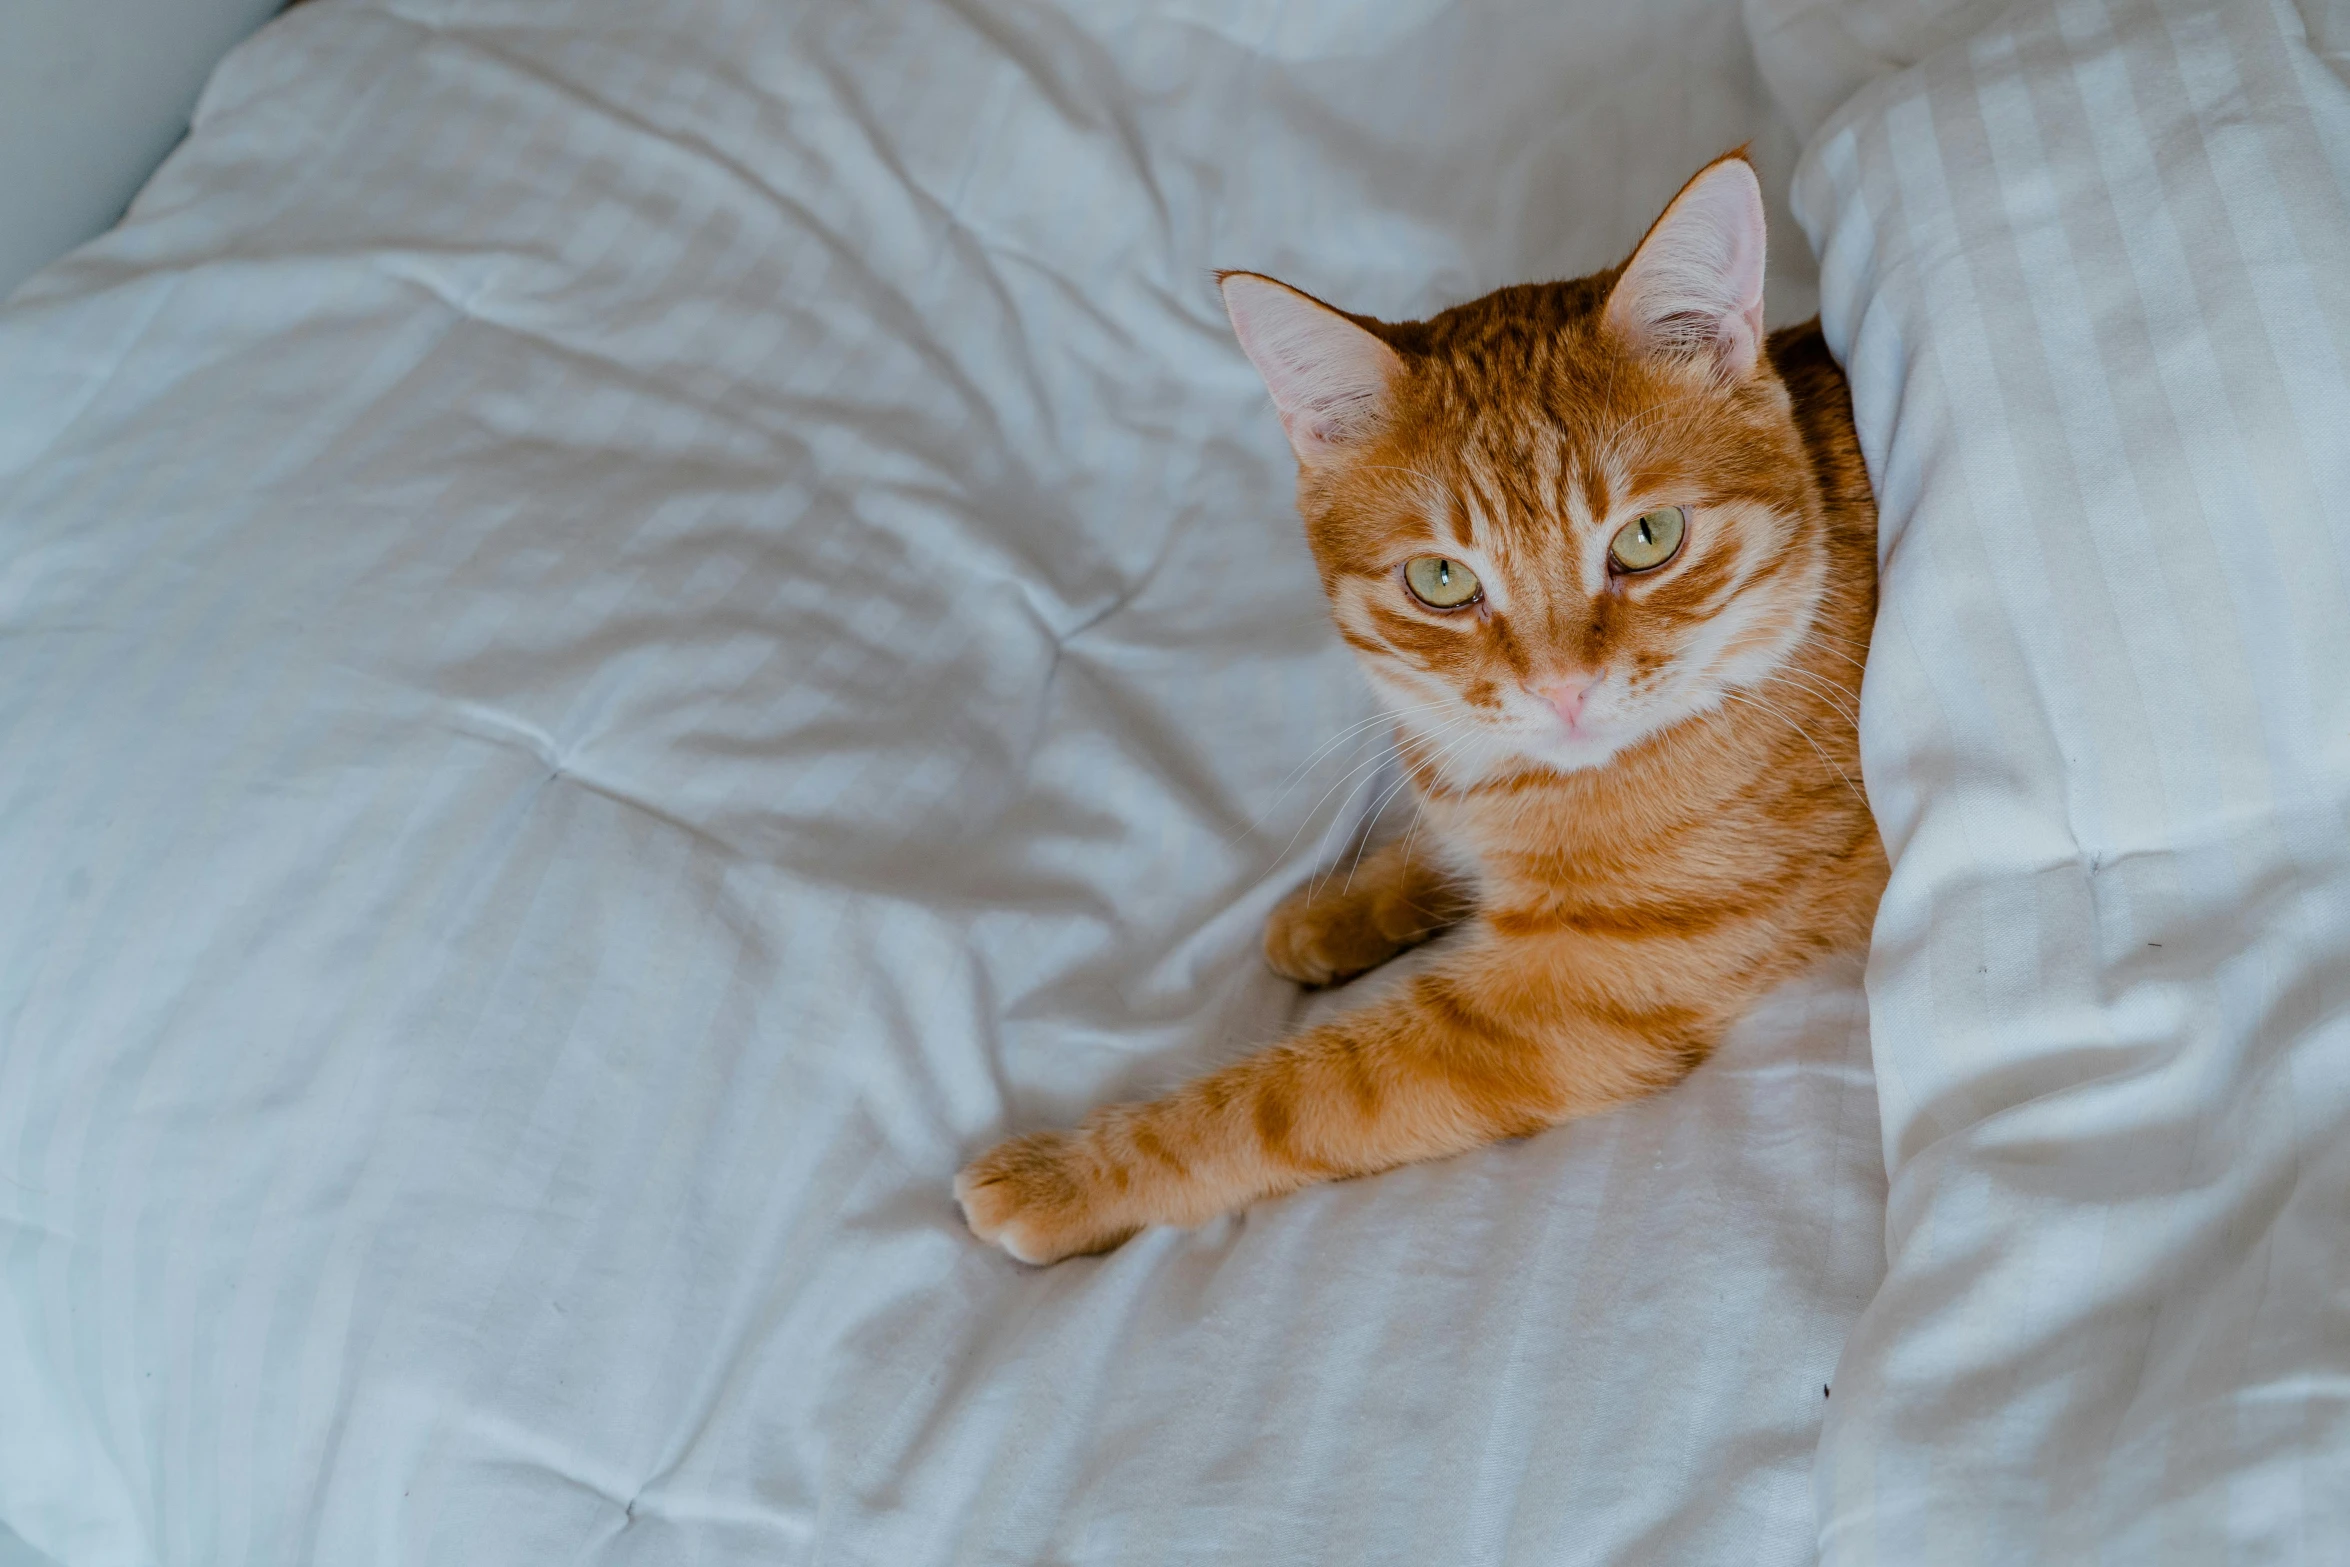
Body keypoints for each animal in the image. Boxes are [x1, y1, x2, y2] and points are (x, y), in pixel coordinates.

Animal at [944, 152, 1879, 1268]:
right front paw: (1337, 908)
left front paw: (1067, 1171)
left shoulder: (1561, 1000)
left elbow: (1277, 1099)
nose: (1562, 689)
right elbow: (1431, 848)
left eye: (1648, 538)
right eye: (1440, 580)